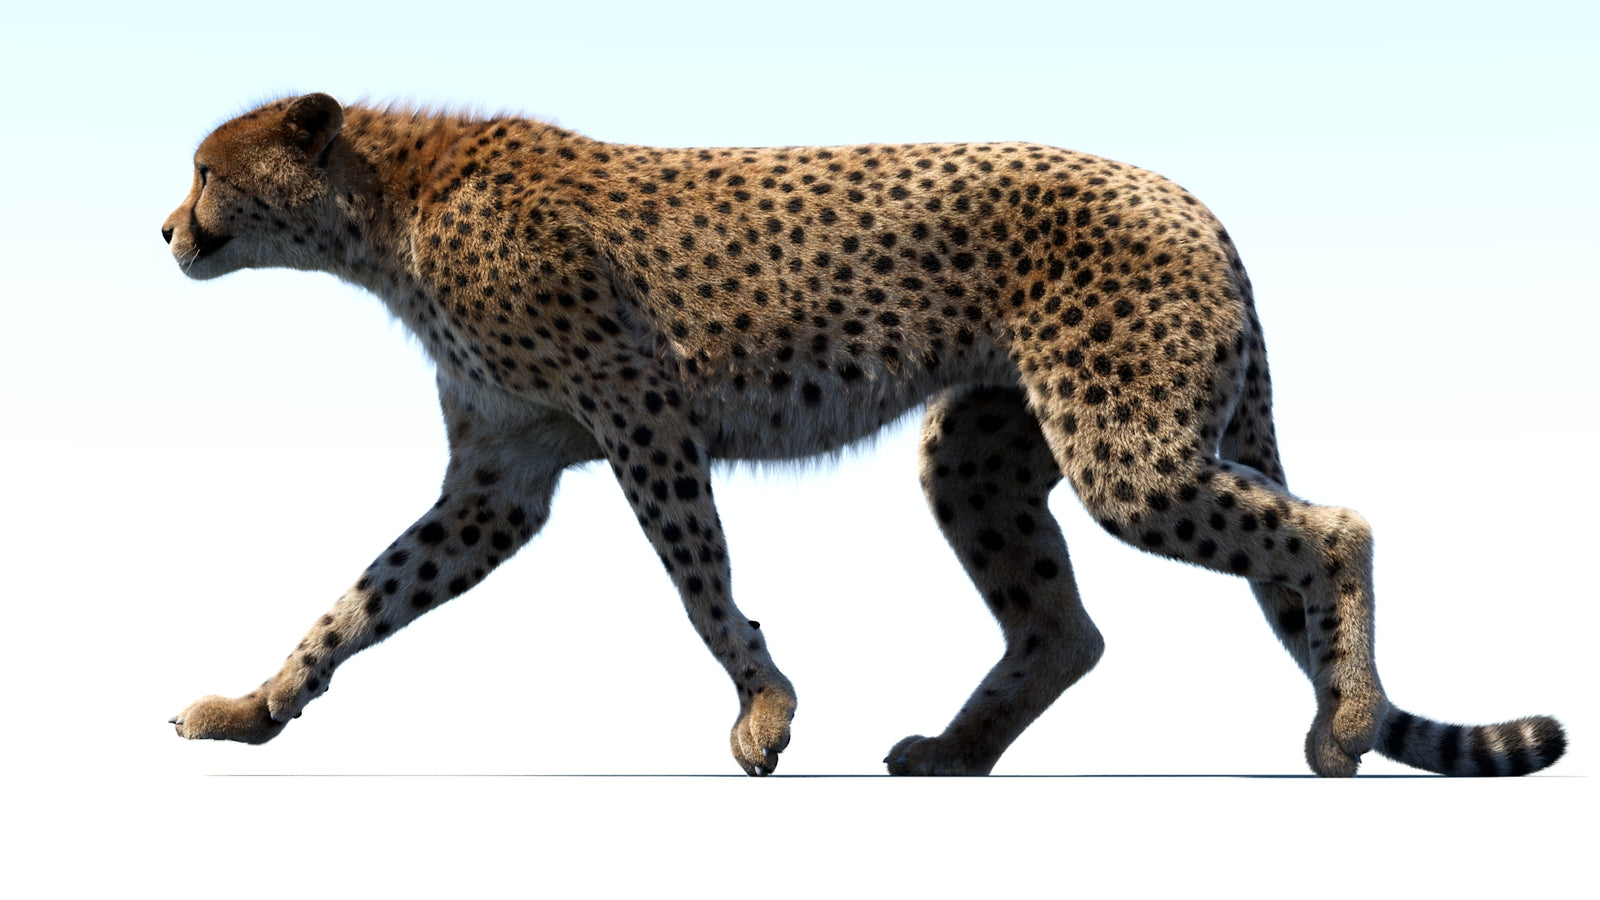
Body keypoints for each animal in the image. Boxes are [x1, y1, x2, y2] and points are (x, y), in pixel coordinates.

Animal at [163, 93, 1566, 776]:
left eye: (207, 171)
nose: (167, 229)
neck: (384, 209)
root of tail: (1191, 199)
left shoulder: (642, 415)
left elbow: (701, 584)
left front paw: (765, 713)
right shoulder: (501, 479)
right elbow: (359, 601)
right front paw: (255, 707)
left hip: (1129, 453)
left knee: (1335, 527)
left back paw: (1344, 724)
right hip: (982, 452)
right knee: (1063, 626)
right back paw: (954, 753)